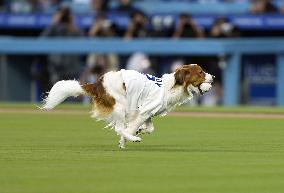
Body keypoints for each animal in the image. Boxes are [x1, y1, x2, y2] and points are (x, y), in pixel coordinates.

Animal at [40, 64, 213, 149]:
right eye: (201, 72)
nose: (213, 76)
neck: (169, 88)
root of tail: (97, 83)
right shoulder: (144, 111)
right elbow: (129, 128)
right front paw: (127, 139)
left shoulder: (147, 112)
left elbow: (150, 128)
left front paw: (140, 130)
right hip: (120, 106)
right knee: (118, 127)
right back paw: (133, 139)